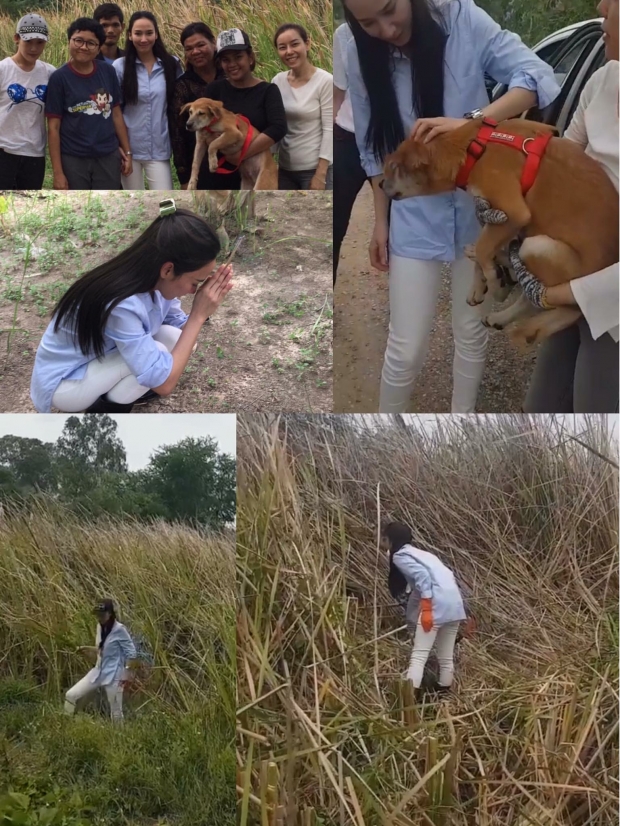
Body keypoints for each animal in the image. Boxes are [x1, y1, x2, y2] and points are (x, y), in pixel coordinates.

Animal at [380, 117, 616, 342]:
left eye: (392, 167)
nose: (380, 184)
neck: (473, 149)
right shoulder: (493, 215)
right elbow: (483, 248)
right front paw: (479, 286)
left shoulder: (515, 212)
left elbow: (484, 248)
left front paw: (494, 283)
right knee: (529, 292)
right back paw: (500, 310)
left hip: (538, 245)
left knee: (552, 300)